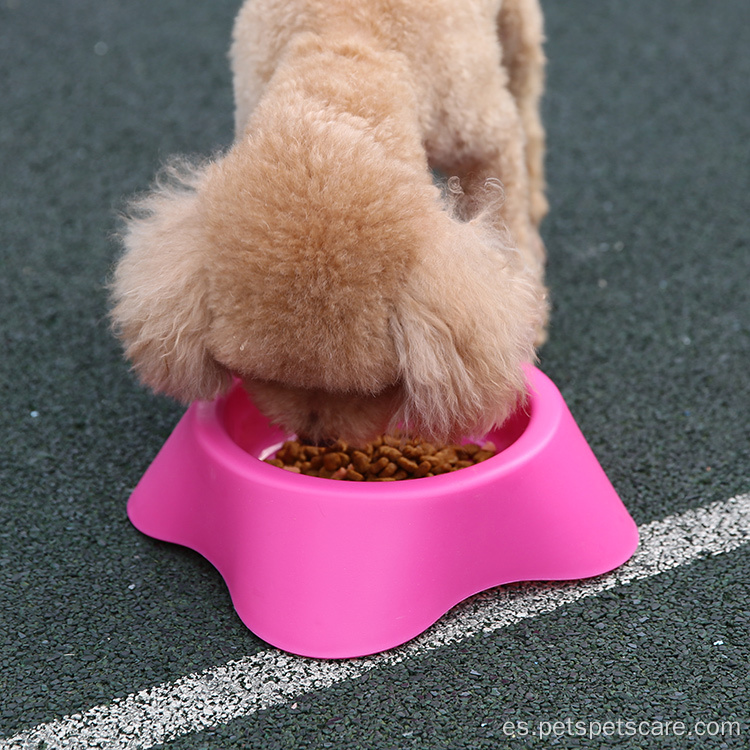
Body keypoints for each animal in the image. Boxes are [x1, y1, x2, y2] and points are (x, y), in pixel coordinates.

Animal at [113, 0, 552, 446]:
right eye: (253, 375)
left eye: (376, 389)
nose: (317, 439)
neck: (347, 50)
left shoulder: (484, 135)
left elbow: (508, 214)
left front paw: (528, 314)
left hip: (516, 33)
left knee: (527, 101)